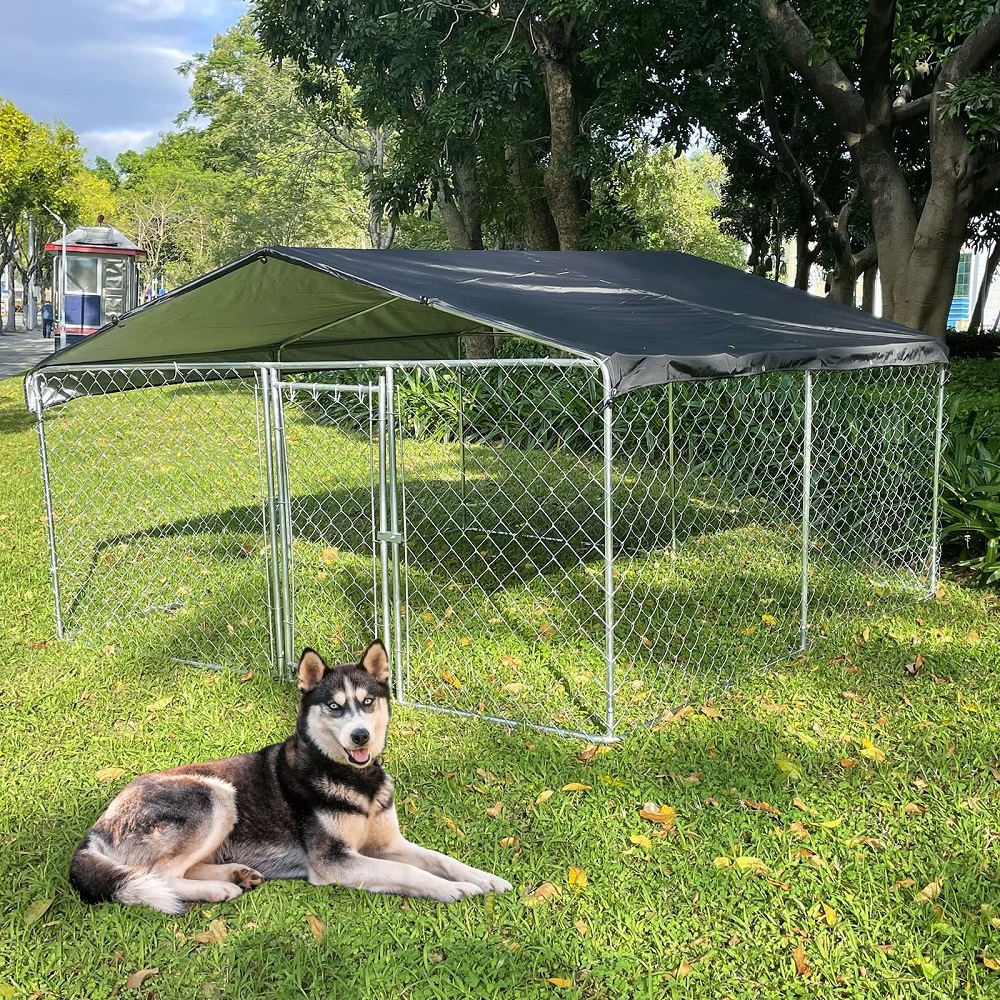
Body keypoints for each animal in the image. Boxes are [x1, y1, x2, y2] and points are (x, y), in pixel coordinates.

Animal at [68, 640, 516, 916]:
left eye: (368, 702)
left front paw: (484, 879)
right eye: (334, 707)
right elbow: (411, 874)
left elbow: (442, 859)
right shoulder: (335, 862)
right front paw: (450, 889)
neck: (353, 779)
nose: (360, 735)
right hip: (215, 796)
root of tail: (96, 828)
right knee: (159, 877)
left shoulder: (389, 844)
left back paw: (235, 875)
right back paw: (217, 889)